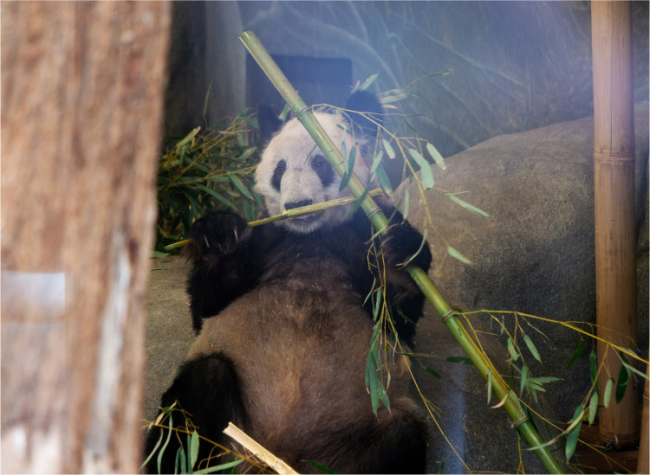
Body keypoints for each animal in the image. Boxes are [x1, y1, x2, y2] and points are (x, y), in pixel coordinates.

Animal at [145, 91, 432, 475]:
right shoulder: (267, 239)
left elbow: (399, 316)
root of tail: (277, 455)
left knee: (401, 436)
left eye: (322, 164)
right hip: (229, 433)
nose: (298, 204)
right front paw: (218, 233)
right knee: (194, 399)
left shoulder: (361, 232)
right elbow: (208, 305)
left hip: (355, 435)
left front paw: (402, 249)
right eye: (280, 169)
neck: (311, 236)